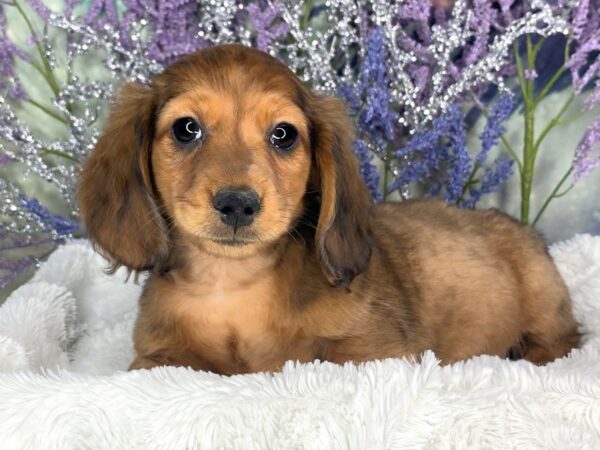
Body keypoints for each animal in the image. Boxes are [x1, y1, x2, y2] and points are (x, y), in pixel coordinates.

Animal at [77, 44, 580, 374]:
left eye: (283, 134)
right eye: (186, 129)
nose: (238, 203)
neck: (233, 285)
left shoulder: (380, 351)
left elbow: (316, 357)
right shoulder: (156, 358)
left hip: (543, 300)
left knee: (564, 341)